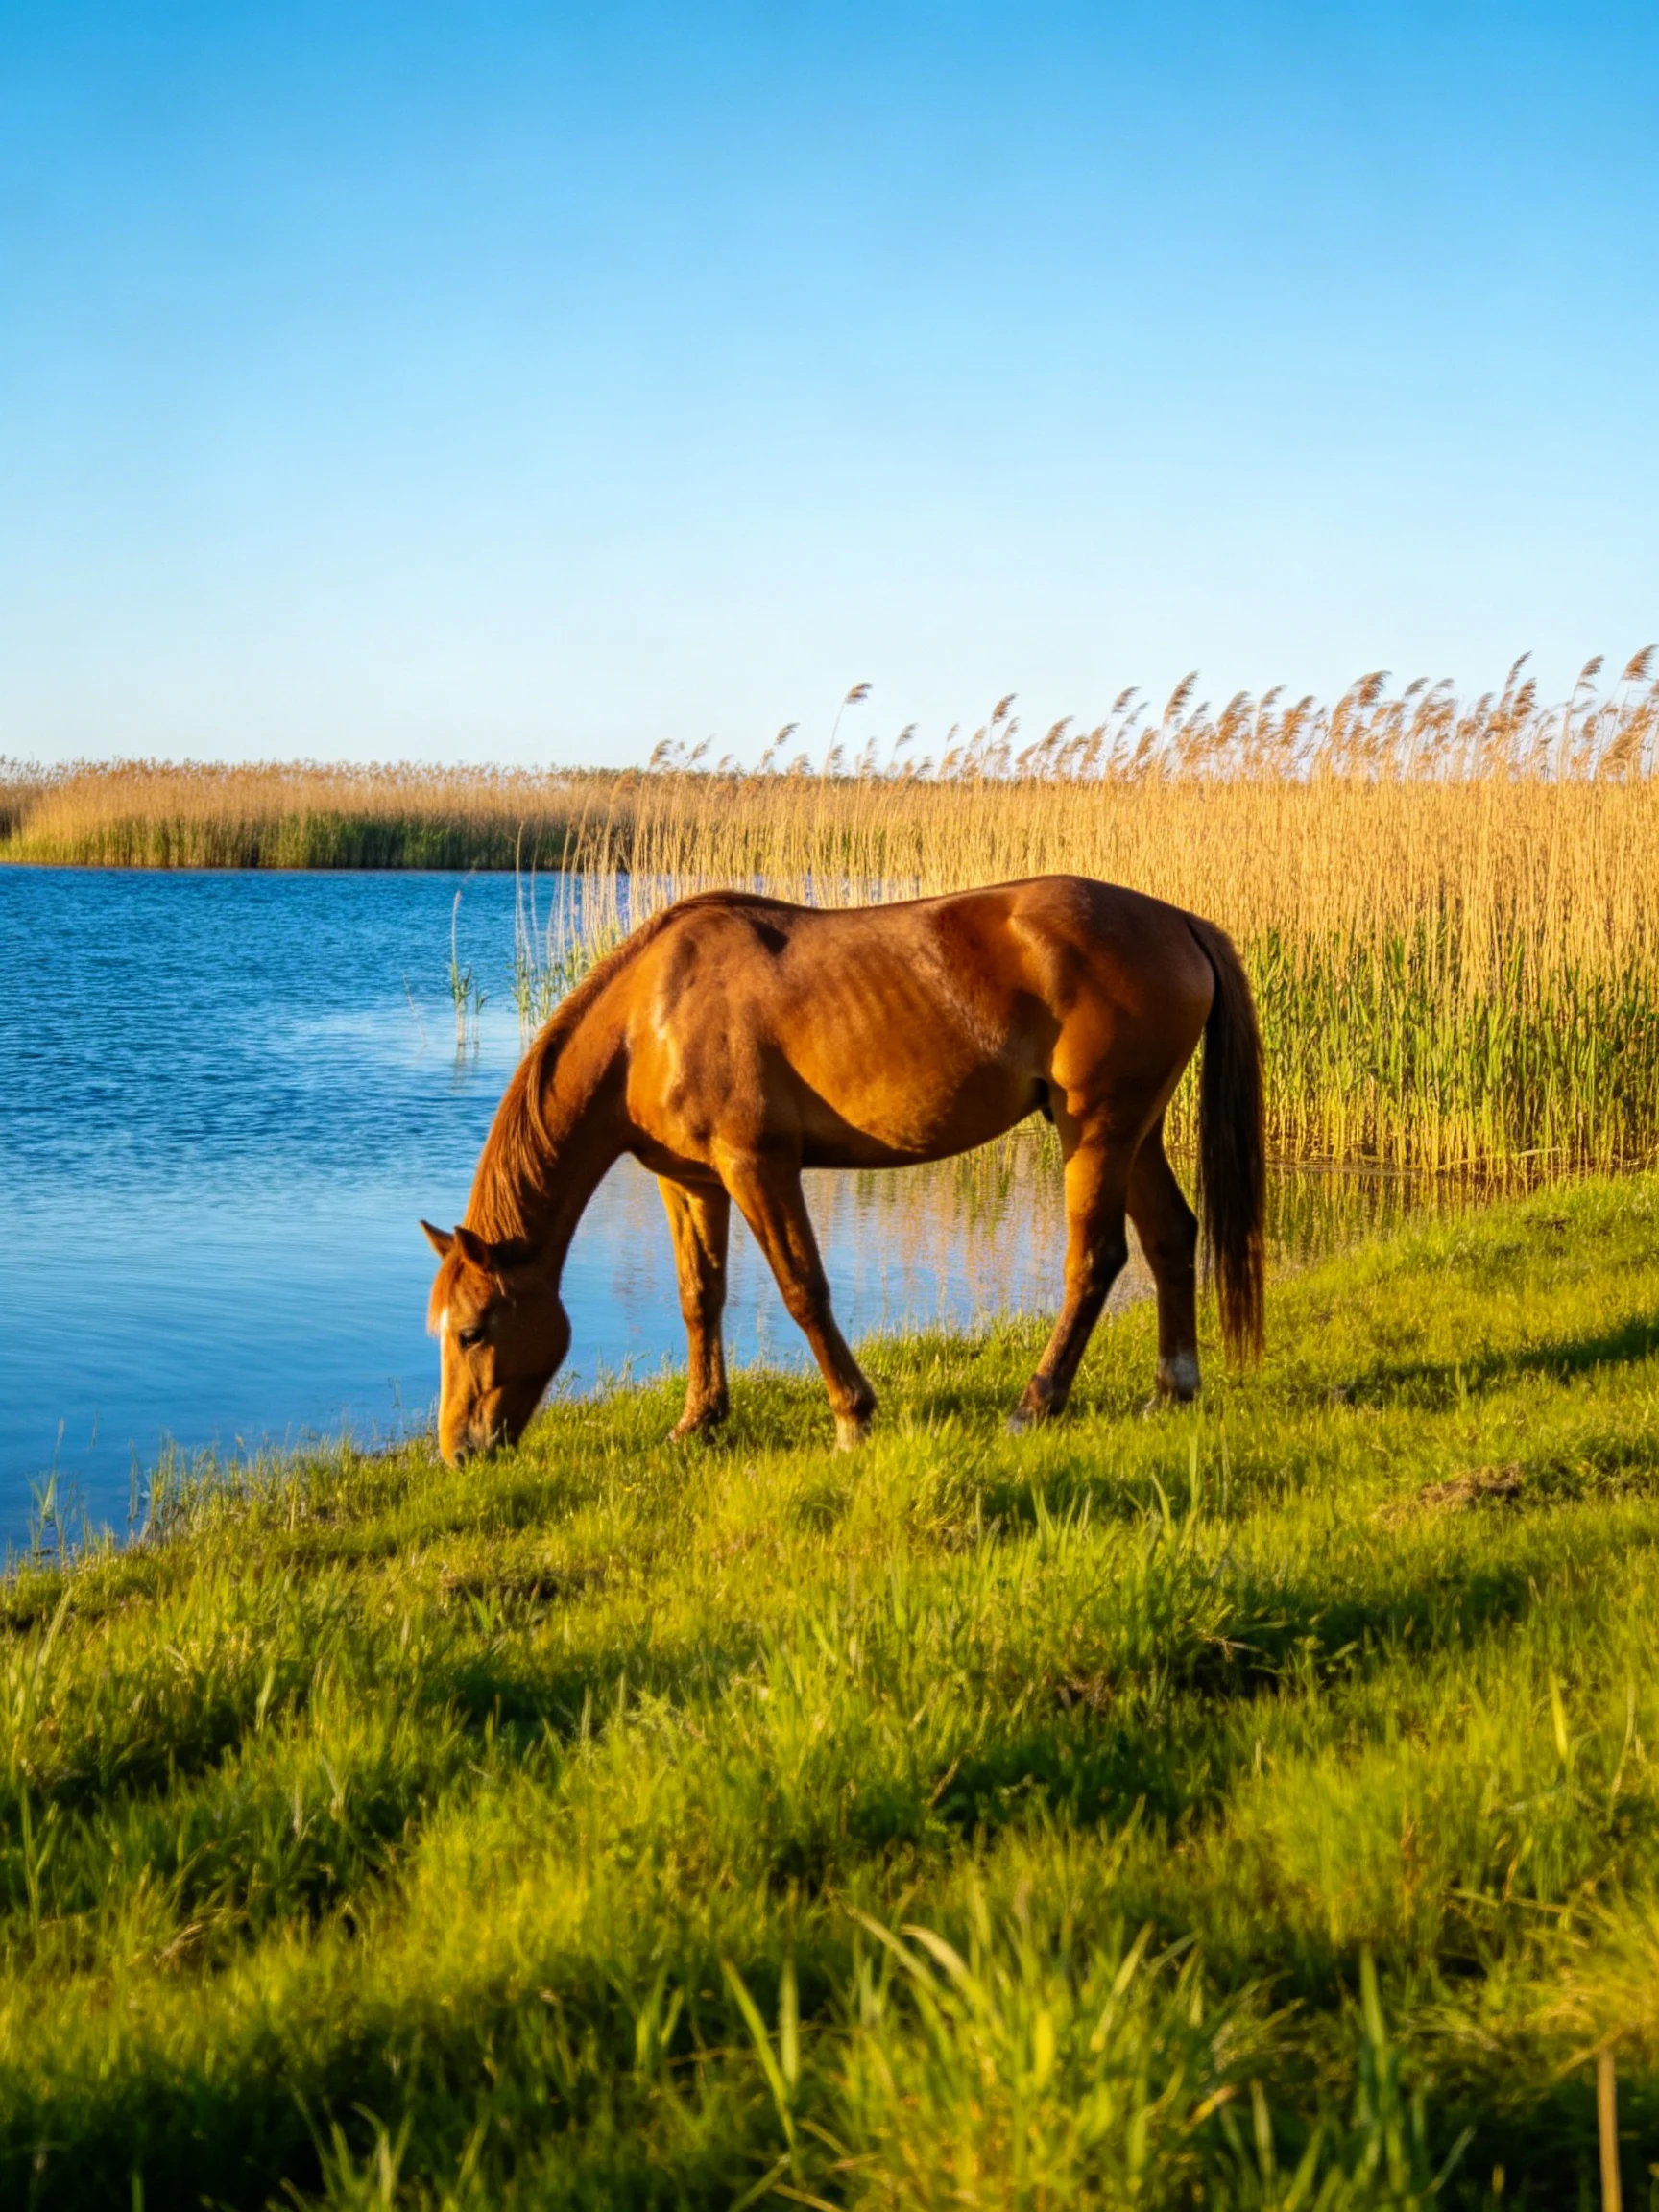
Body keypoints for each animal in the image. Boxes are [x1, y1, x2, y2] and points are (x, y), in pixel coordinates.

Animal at [421, 874, 1264, 1465]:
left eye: (471, 1332)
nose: (459, 1452)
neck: (649, 1019)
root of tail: (1180, 923)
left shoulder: (757, 1166)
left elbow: (803, 1290)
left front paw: (853, 1417)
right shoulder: (690, 1182)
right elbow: (700, 1299)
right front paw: (698, 1423)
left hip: (1096, 1128)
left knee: (1095, 1259)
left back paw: (1035, 1405)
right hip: (1136, 1129)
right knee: (1169, 1237)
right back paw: (1172, 1390)